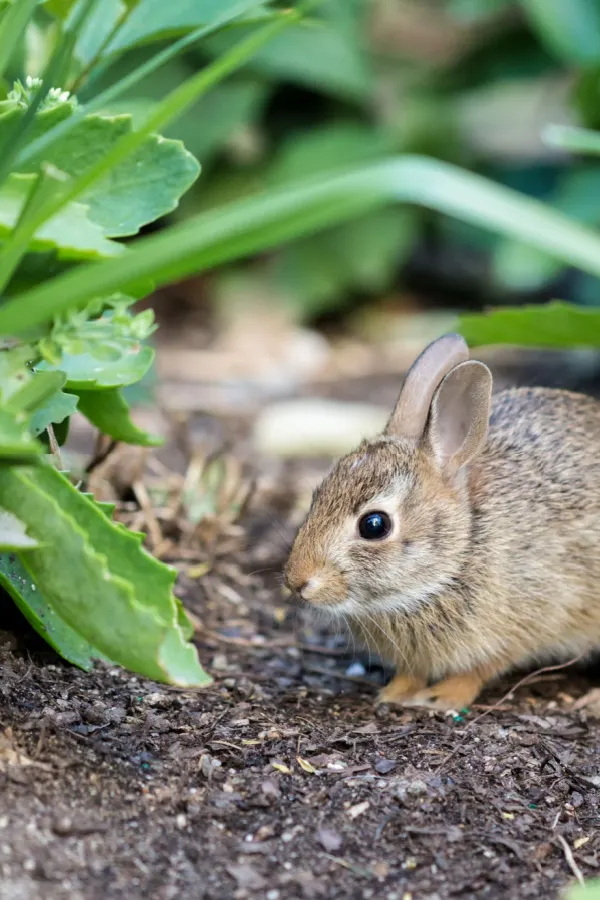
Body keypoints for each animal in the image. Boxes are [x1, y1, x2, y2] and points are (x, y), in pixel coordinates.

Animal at [284, 333, 600, 711]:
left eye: (374, 525)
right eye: (316, 497)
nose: (296, 581)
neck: (462, 547)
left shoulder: (531, 616)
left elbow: (483, 667)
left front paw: (442, 697)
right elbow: (413, 672)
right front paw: (396, 692)